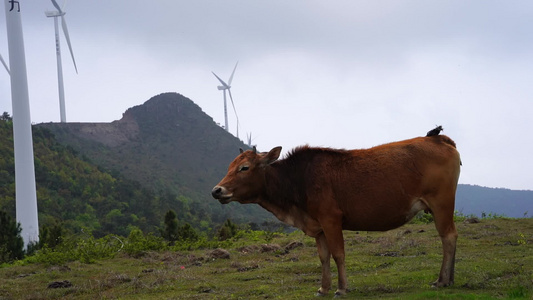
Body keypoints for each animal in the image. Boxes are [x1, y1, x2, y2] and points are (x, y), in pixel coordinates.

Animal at [210, 131, 460, 296]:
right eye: (230, 166)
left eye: (244, 168)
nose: (216, 190)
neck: (297, 180)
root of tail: (438, 138)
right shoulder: (318, 226)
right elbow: (324, 257)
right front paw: (324, 287)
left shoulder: (331, 219)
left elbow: (339, 254)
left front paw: (341, 288)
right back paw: (450, 279)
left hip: (441, 203)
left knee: (448, 237)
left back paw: (442, 280)